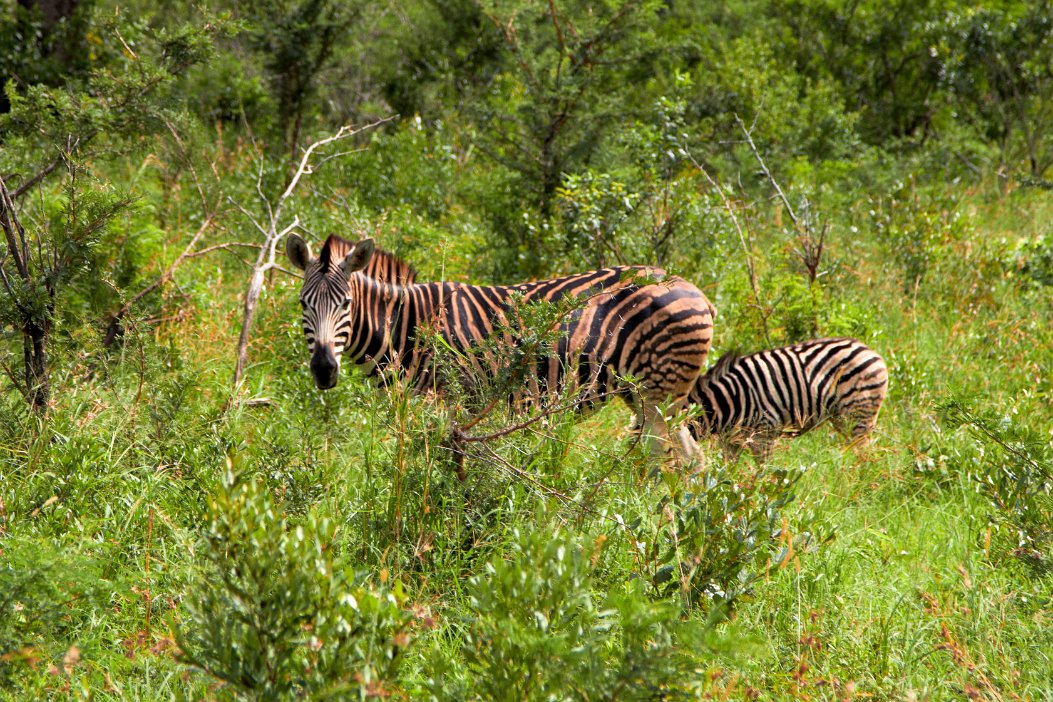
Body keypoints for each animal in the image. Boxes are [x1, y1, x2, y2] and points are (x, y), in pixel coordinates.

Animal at [286, 233, 716, 458]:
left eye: (345, 304)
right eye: (303, 304)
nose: (323, 370)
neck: (407, 325)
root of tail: (693, 288)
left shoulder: (447, 402)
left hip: (661, 394)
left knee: (684, 461)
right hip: (644, 396)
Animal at [682, 336, 888, 463]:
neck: (726, 400)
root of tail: (869, 351)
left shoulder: (764, 432)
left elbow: (763, 470)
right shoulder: (731, 440)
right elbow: (726, 470)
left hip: (859, 415)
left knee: (864, 453)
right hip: (841, 418)